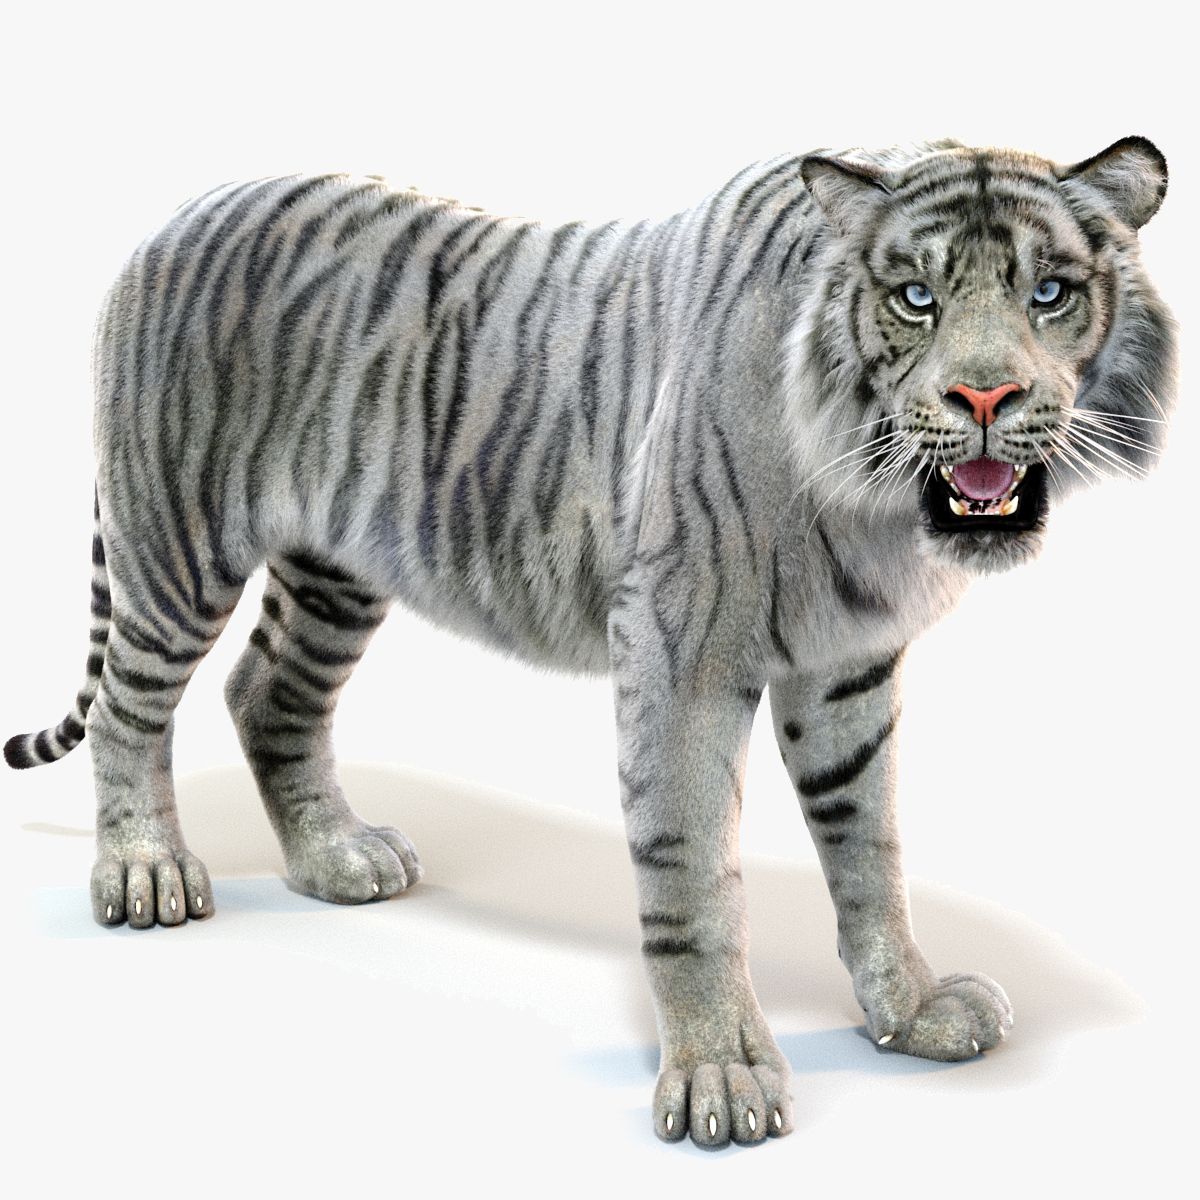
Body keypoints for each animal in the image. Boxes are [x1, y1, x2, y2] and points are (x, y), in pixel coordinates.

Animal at [4, 136, 1175, 1148]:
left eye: (1049, 292)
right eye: (916, 297)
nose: (984, 396)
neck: (875, 497)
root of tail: (178, 211)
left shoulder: (847, 665)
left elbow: (869, 843)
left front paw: (913, 1010)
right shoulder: (681, 645)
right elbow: (692, 871)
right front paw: (719, 1081)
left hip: (336, 569)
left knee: (267, 691)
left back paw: (337, 858)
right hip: (176, 541)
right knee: (128, 710)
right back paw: (146, 875)